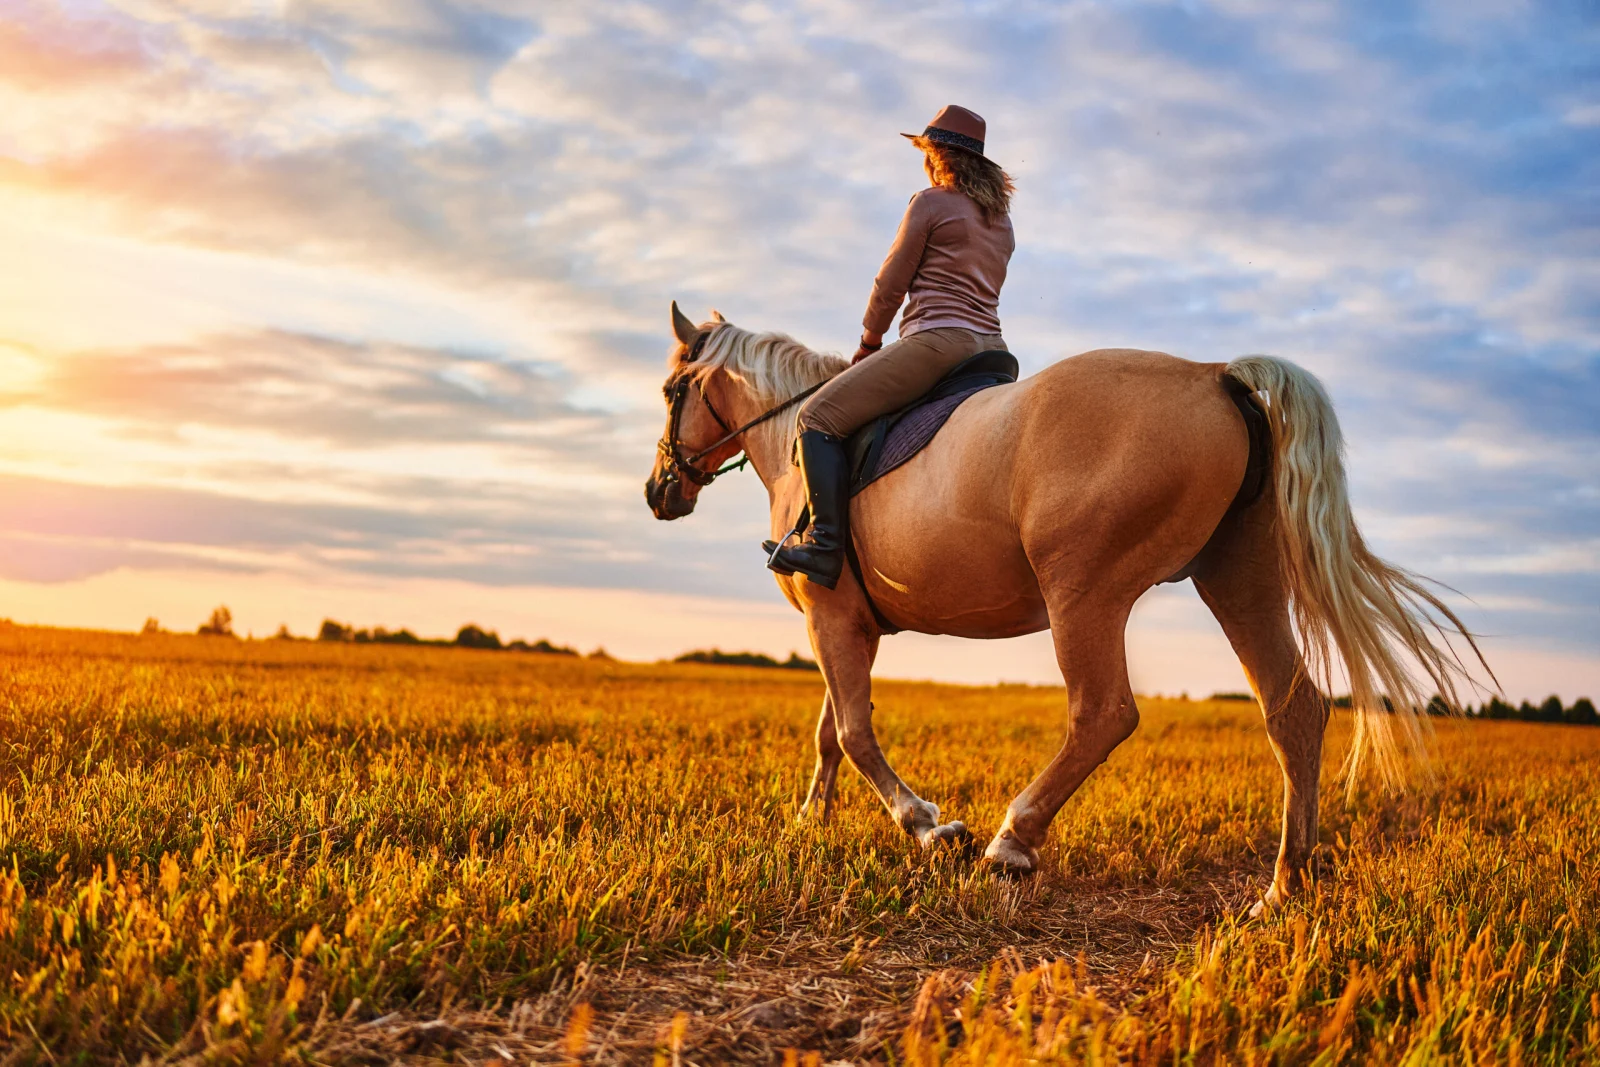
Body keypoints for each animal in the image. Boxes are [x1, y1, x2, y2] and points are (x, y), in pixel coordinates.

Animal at [645, 303, 1485, 913]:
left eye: (669, 391)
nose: (658, 492)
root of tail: (1218, 377)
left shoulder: (830, 617)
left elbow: (851, 732)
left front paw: (929, 826)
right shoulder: (846, 623)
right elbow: (829, 731)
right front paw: (809, 823)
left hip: (1085, 591)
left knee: (1103, 712)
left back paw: (1012, 842)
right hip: (1238, 576)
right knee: (1294, 708)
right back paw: (1283, 888)